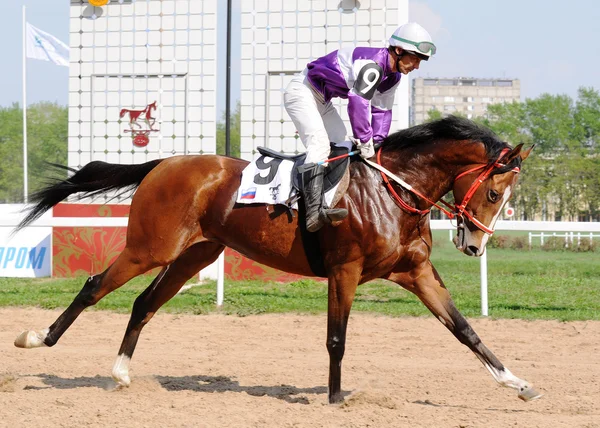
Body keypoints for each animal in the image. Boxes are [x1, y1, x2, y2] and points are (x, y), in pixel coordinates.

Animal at [14, 115, 540, 402]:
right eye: (494, 192)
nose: (475, 245)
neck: (391, 191)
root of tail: (164, 163)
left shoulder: (416, 272)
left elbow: (466, 330)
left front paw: (518, 383)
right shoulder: (345, 270)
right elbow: (336, 339)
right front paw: (336, 398)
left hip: (193, 254)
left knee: (144, 303)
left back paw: (121, 373)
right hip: (150, 248)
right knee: (94, 286)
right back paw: (37, 338)